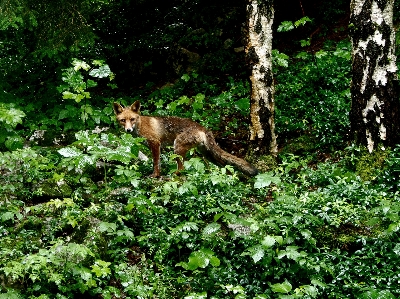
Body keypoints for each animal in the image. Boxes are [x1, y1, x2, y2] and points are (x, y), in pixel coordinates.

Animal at [112, 101, 260, 178]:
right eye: (123, 120)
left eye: (132, 119)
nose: (128, 130)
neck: (140, 125)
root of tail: (202, 127)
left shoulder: (155, 143)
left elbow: (156, 163)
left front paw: (155, 175)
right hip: (207, 154)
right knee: (224, 165)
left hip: (177, 148)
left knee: (182, 168)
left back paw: (174, 175)